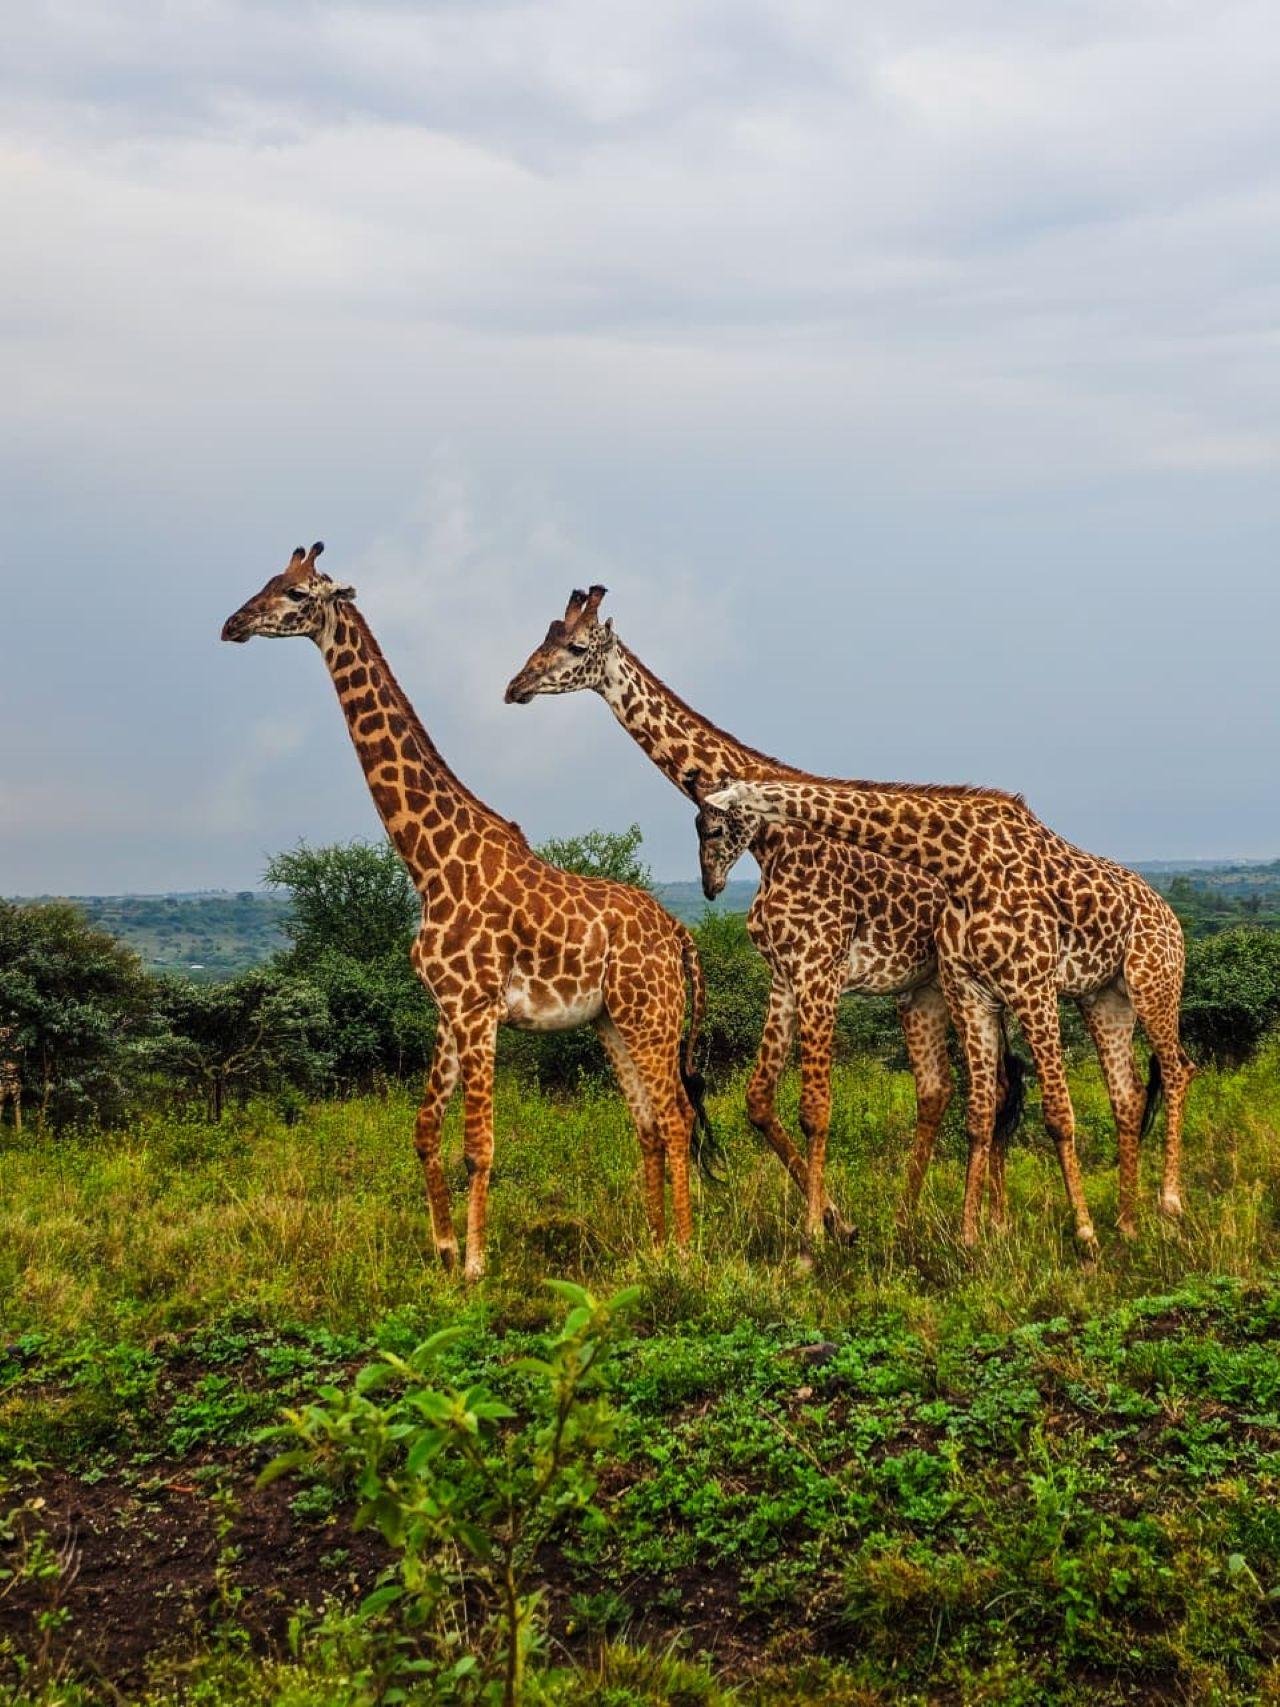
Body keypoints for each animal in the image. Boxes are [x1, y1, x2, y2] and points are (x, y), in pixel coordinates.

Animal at [222, 544, 717, 1281]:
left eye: (297, 593)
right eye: (267, 581)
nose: (233, 624)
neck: (428, 861)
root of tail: (682, 935)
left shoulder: (479, 1007)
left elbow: (478, 1145)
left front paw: (477, 1264)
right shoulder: (446, 1008)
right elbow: (425, 1130)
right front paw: (444, 1247)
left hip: (651, 1013)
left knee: (678, 1114)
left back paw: (683, 1255)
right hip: (611, 1021)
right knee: (650, 1122)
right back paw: (650, 1250)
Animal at [504, 587, 1023, 1252]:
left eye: (572, 645)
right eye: (540, 636)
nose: (515, 686)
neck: (771, 841)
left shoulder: (820, 969)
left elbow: (816, 1108)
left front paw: (813, 1236)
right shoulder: (783, 974)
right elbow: (757, 1102)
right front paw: (841, 1221)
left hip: (978, 984)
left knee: (997, 1087)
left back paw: (991, 1223)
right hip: (924, 986)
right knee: (941, 1091)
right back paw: (912, 1221)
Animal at [706, 775, 1195, 1248]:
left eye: (711, 827)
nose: (710, 883)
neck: (962, 866)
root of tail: (1169, 914)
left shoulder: (1032, 985)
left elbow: (1057, 1114)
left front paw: (1084, 1233)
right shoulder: (970, 991)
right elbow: (978, 1115)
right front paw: (968, 1237)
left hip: (1154, 981)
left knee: (1178, 1070)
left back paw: (1168, 1204)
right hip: (1105, 999)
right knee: (1129, 1094)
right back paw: (1127, 1223)